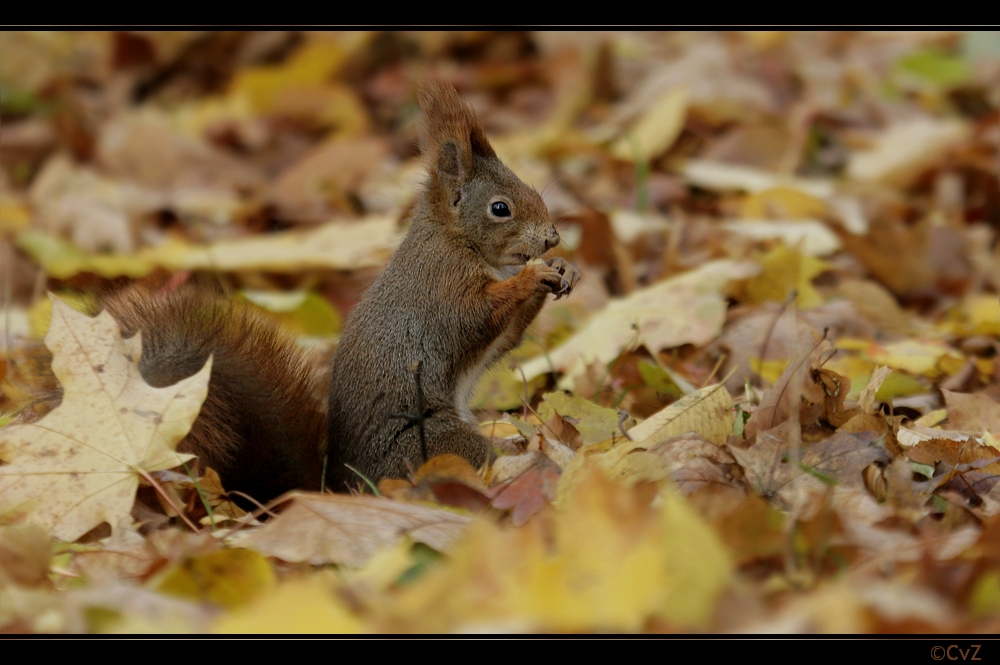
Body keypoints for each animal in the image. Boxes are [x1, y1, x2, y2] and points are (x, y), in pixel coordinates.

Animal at [95, 79, 580, 504]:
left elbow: (507, 335)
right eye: (500, 208)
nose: (552, 237)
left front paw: (562, 269)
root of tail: (344, 486)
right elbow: (477, 315)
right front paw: (531, 277)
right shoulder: (442, 287)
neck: (456, 240)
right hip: (435, 444)